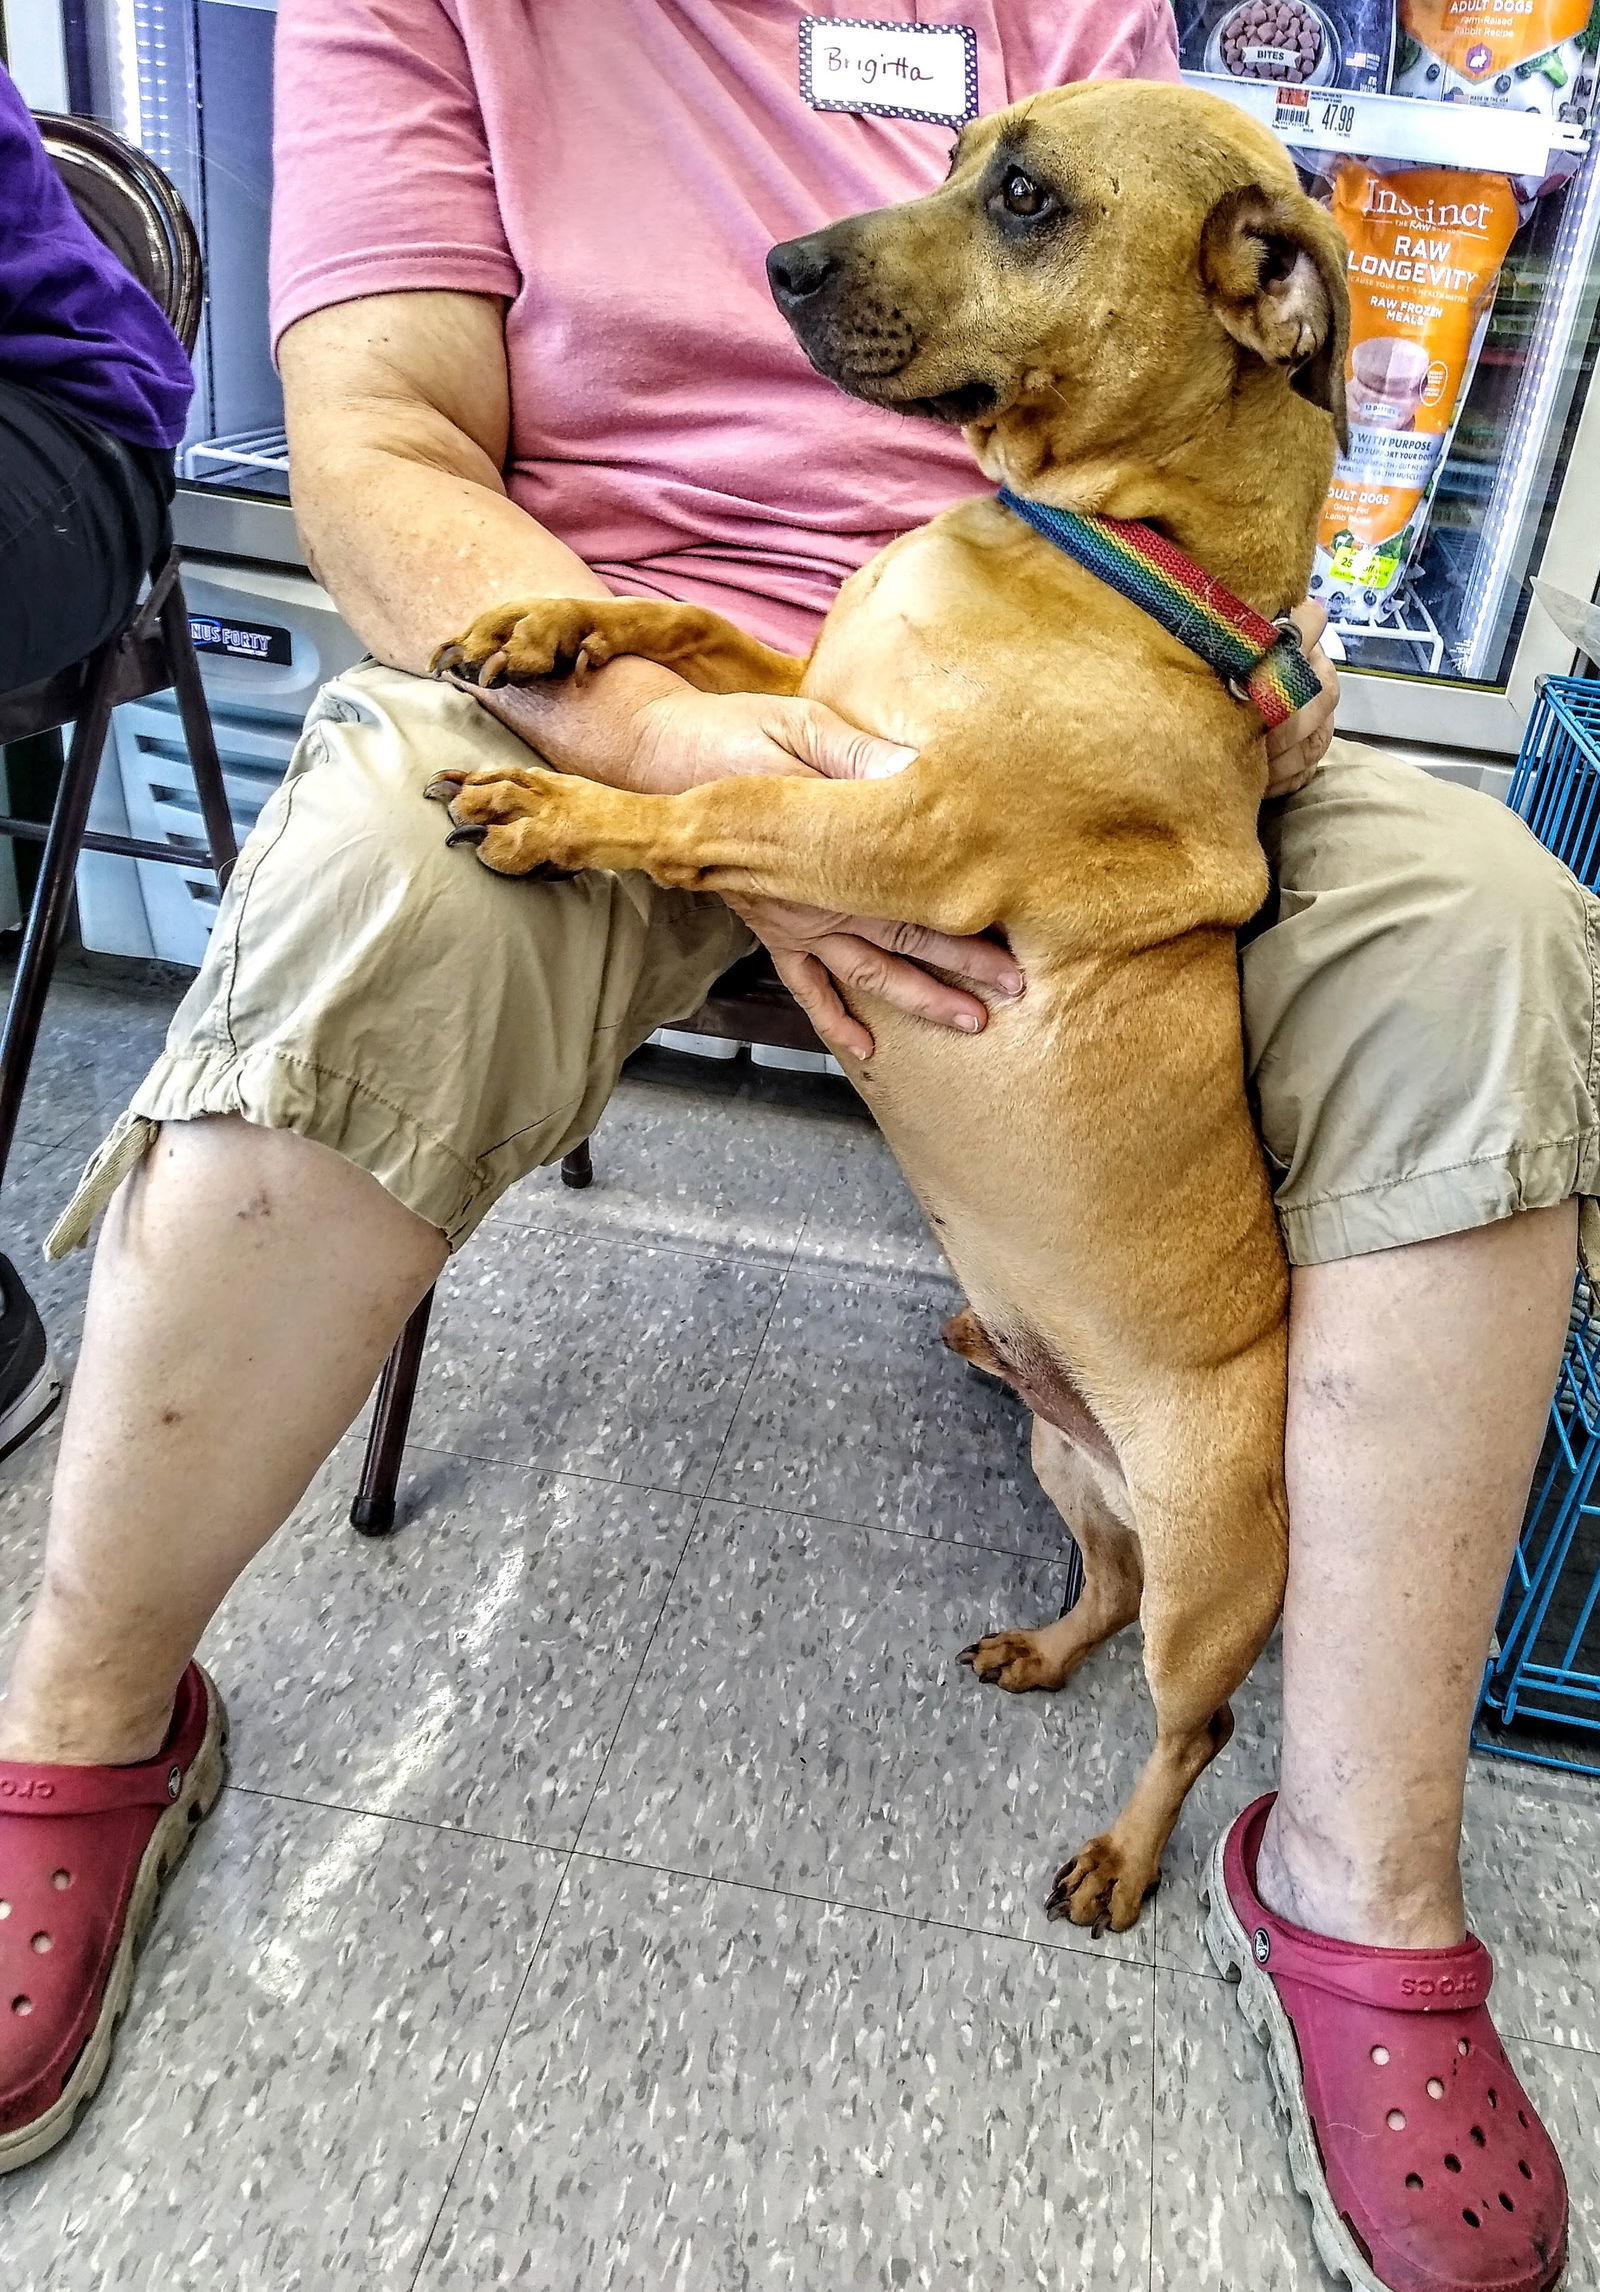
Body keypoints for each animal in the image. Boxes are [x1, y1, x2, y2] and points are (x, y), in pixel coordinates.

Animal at [426, 76, 1347, 1934]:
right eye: (958, 154)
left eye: (1027, 197)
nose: (776, 263)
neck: (1104, 544)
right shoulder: (819, 703)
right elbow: (684, 622)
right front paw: (553, 619)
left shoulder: (901, 826)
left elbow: (707, 807)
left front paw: (559, 809)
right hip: (1073, 1481)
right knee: (1097, 1595)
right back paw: (1038, 1647)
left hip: (1214, 1590)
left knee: (1192, 1726)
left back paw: (1122, 1858)